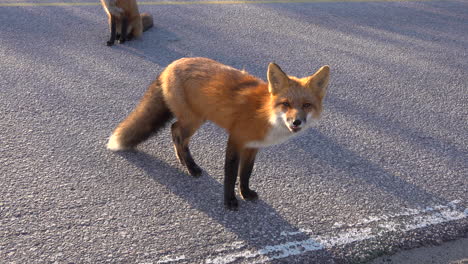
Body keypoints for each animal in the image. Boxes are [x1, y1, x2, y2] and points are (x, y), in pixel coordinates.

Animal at [108, 57, 330, 210]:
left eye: (307, 105)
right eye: (286, 104)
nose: (296, 121)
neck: (264, 112)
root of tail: (171, 64)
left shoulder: (252, 147)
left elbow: (246, 173)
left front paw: (245, 193)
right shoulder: (236, 140)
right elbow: (230, 174)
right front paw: (230, 200)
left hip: (194, 119)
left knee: (174, 131)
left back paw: (183, 161)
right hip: (194, 120)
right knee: (177, 133)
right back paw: (191, 167)